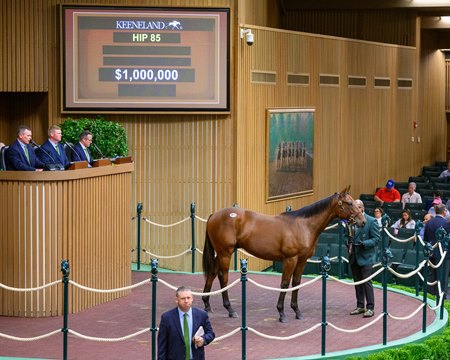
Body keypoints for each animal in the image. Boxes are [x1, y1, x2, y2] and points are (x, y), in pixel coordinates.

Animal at [202, 187, 368, 322]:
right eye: (349, 203)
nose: (363, 221)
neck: (303, 226)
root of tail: (213, 215)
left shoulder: (302, 260)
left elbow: (296, 283)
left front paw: (297, 311)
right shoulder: (290, 260)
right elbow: (285, 283)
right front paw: (281, 313)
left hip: (221, 253)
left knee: (212, 272)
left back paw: (207, 305)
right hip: (225, 253)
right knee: (223, 277)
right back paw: (230, 309)